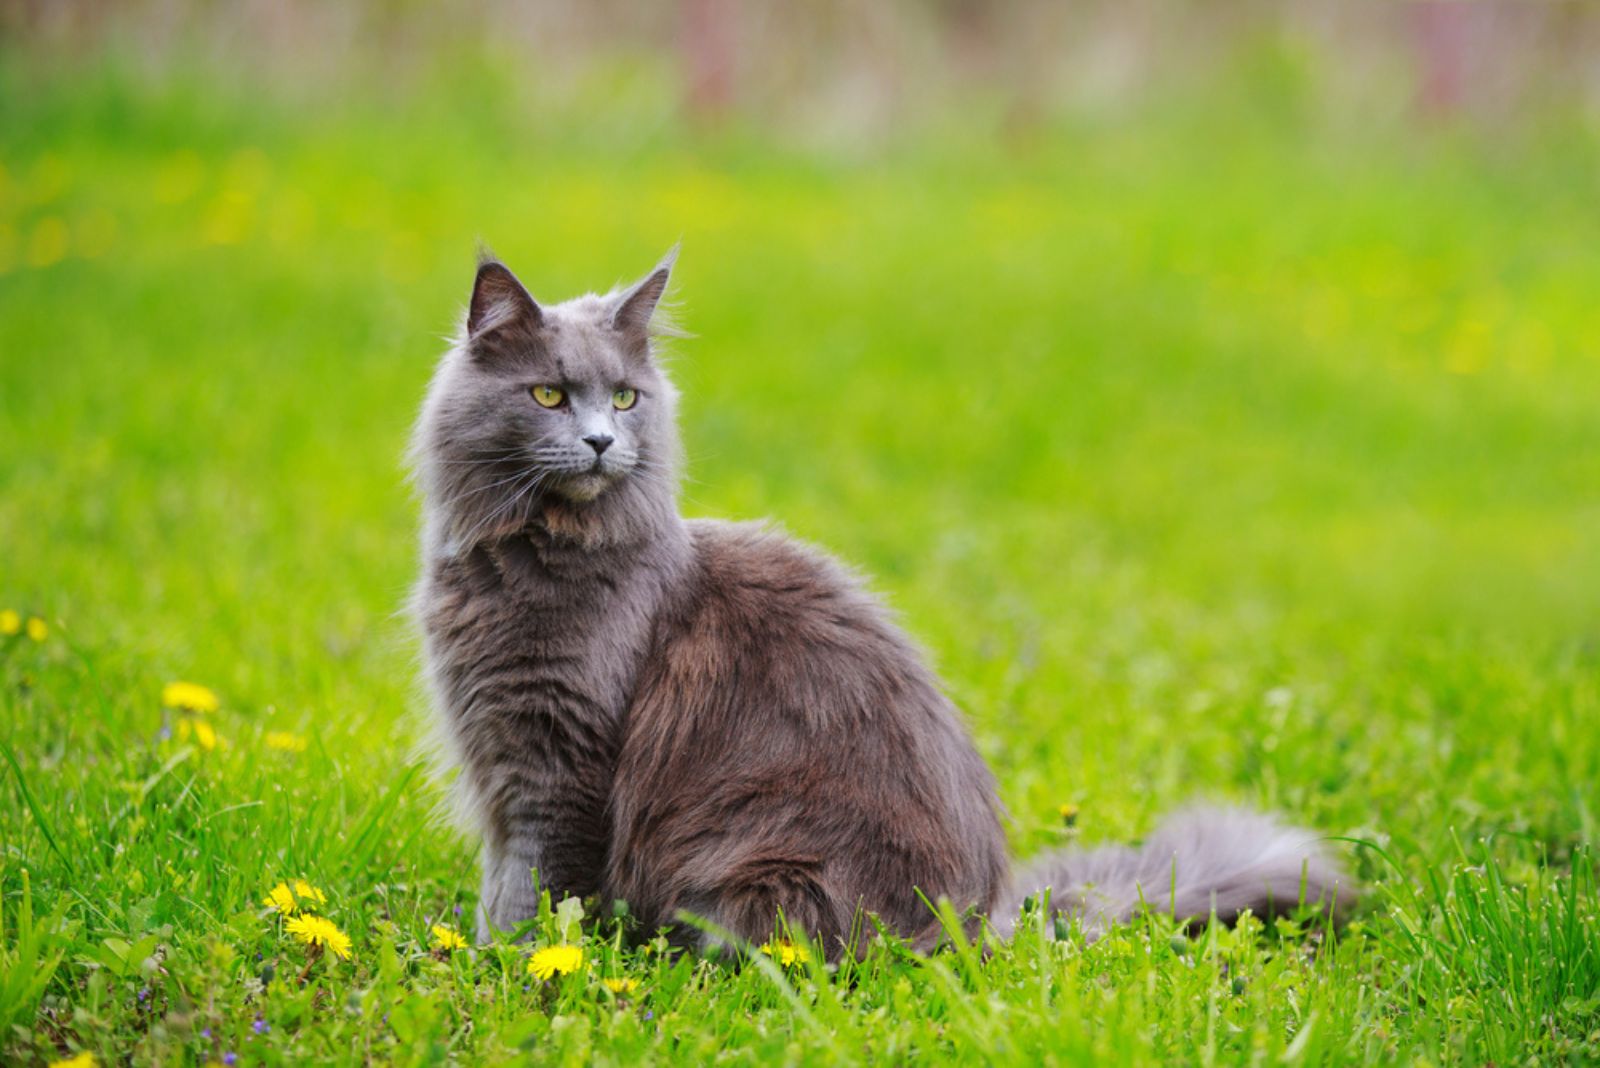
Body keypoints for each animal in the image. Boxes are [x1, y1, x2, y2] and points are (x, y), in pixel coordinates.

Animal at [412, 251, 1350, 952]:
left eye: (624, 397)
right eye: (548, 394)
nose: (603, 441)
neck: (532, 556)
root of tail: (988, 923)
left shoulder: (560, 762)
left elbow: (539, 893)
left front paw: (510, 964)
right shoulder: (506, 759)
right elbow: (505, 879)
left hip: (757, 874)